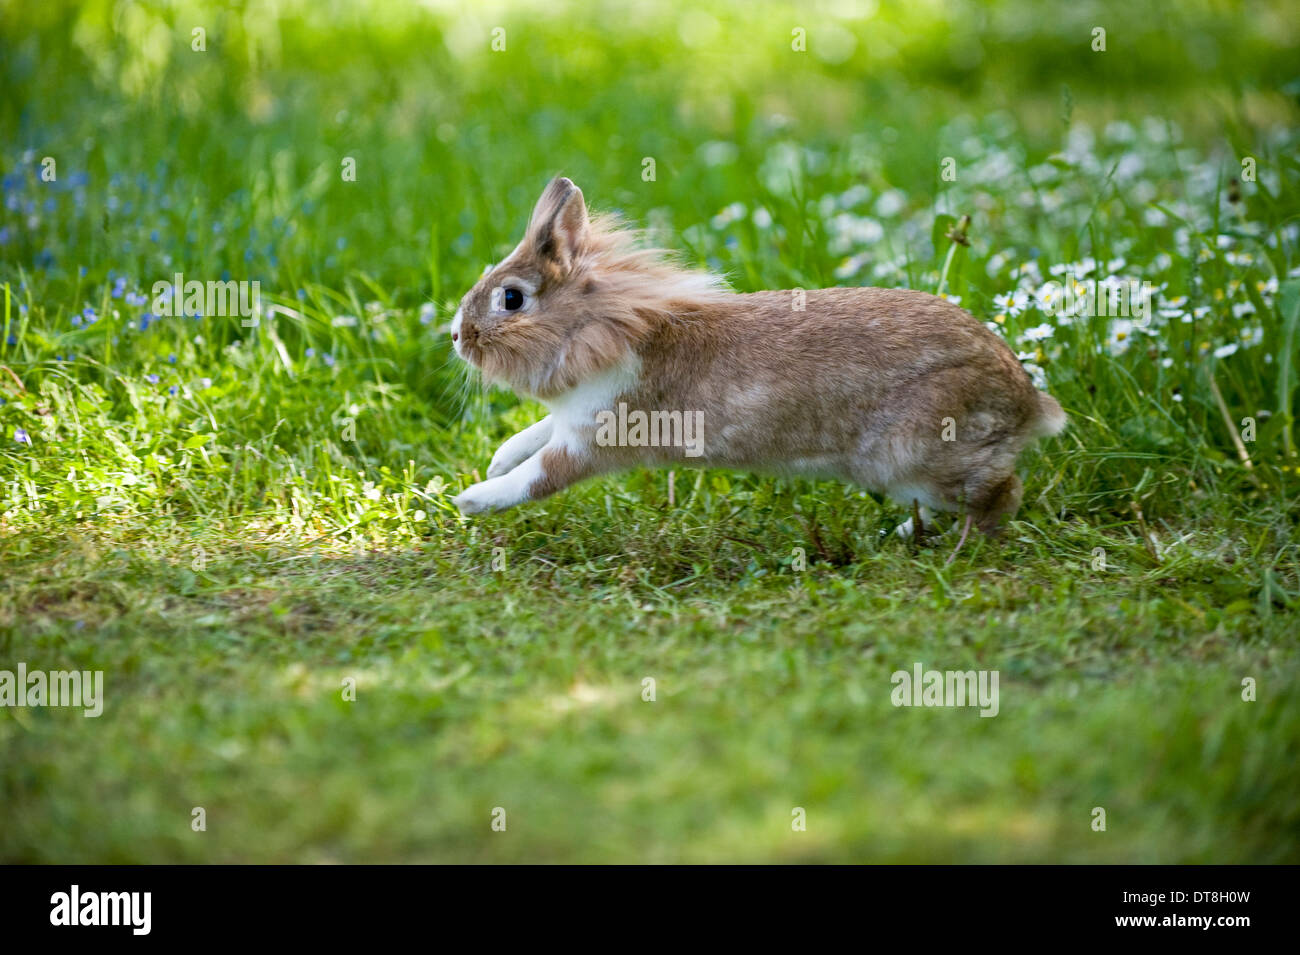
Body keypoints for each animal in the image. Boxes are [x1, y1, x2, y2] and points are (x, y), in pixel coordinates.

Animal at [450, 176, 1066, 553]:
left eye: (511, 299)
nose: (456, 336)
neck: (600, 327)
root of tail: (1027, 402)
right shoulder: (571, 418)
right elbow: (532, 435)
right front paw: (494, 462)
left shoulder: (591, 441)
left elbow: (537, 477)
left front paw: (472, 499)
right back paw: (899, 534)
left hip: (919, 453)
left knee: (1000, 493)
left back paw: (960, 547)